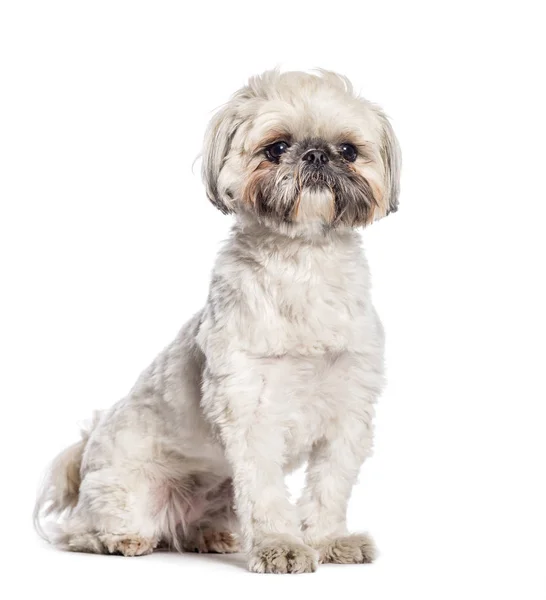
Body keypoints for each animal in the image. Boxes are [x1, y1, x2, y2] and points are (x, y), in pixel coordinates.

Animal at [35, 68, 400, 576]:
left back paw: (209, 535)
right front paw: (281, 546)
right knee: (82, 532)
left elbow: (330, 485)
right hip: (126, 492)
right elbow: (266, 491)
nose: (316, 154)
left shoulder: (349, 408)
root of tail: (85, 451)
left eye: (348, 150)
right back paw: (121, 539)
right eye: (276, 147)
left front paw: (330, 541)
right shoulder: (250, 407)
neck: (303, 264)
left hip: (219, 493)